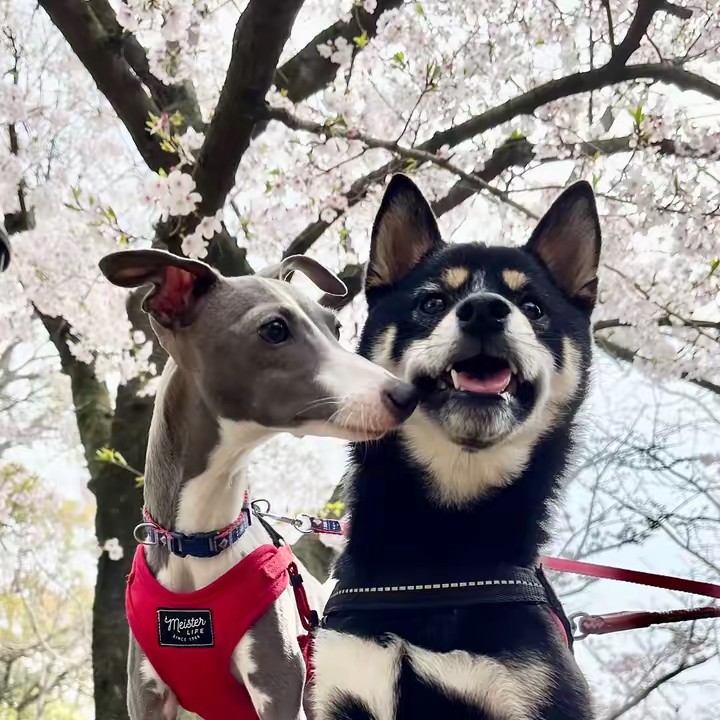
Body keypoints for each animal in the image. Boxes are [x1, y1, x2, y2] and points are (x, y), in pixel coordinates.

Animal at [99, 249, 418, 720]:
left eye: (336, 327)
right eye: (274, 329)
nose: (407, 395)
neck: (199, 540)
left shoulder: (278, 687)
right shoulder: (146, 695)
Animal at [312, 175, 601, 719]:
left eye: (533, 308)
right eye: (431, 303)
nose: (485, 309)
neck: (440, 545)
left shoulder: (534, 691)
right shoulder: (342, 688)